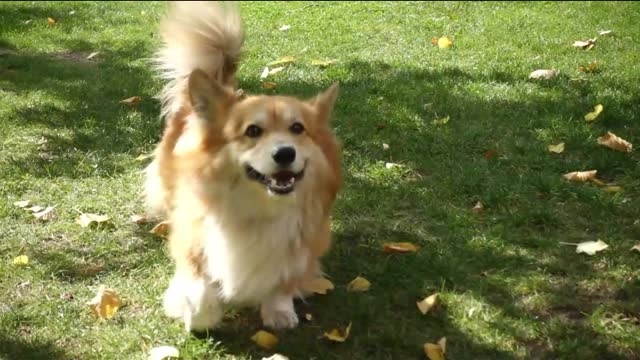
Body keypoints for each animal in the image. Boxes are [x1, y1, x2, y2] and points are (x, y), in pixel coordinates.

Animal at [143, 1, 342, 332]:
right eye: (252, 131)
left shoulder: (304, 246)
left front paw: (279, 310)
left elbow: (284, 280)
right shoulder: (192, 237)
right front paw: (195, 313)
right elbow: (199, 291)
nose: (285, 153)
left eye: (297, 128)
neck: (259, 208)